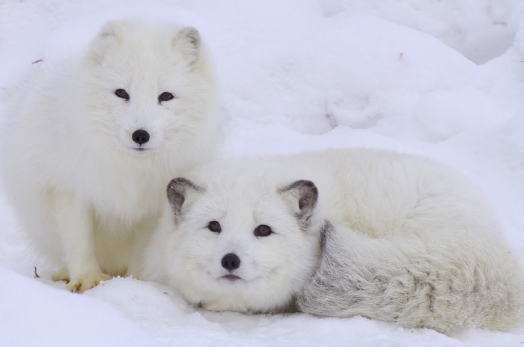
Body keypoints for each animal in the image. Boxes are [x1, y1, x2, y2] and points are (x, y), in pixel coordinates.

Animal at [0, 20, 217, 294]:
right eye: (121, 93)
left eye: (166, 96)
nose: (140, 135)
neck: (129, 168)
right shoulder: (69, 190)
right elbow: (79, 241)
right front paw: (87, 279)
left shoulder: (152, 208)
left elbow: (141, 254)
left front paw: (134, 284)